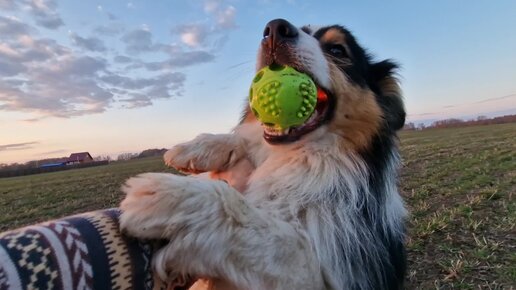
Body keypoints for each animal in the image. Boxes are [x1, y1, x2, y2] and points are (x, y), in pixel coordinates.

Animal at [120, 18, 408, 290]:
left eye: (337, 49)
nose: (275, 28)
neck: (298, 154)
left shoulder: (342, 268)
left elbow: (267, 230)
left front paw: (173, 199)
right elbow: (244, 138)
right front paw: (194, 149)